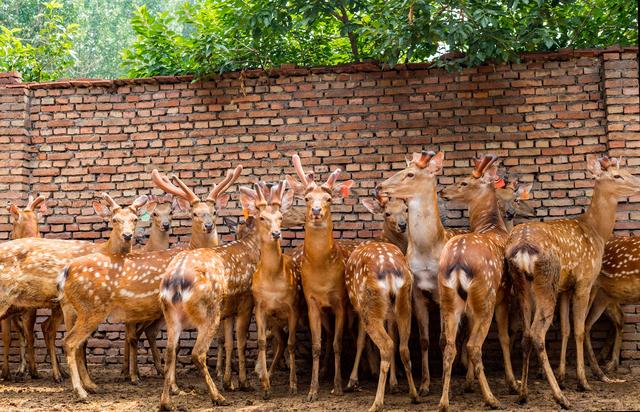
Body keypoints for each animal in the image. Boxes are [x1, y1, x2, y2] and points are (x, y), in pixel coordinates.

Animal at [284, 153, 356, 400]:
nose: (316, 211)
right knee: (327, 335)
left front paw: (338, 386)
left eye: (329, 199)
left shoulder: (341, 301)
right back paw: (324, 371)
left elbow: (337, 344)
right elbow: (317, 344)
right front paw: (312, 390)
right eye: (307, 198)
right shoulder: (312, 301)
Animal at [436, 155, 510, 412]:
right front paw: (512, 383)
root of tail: (458, 261)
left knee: (449, 345)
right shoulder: (503, 296)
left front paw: (467, 383)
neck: (494, 227)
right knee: (474, 346)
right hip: (485, 296)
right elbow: (505, 338)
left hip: (448, 299)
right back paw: (491, 398)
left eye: (464, 182)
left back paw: (444, 402)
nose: (442, 191)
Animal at [504, 155, 640, 408]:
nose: (637, 184)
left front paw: (564, 376)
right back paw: (560, 397)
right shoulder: (584, 281)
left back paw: (523, 393)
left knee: (526, 334)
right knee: (537, 333)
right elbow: (579, 328)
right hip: (546, 281)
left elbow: (566, 329)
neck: (596, 232)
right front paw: (582, 381)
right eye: (617, 175)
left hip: (522, 285)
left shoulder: (565, 288)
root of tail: (522, 248)